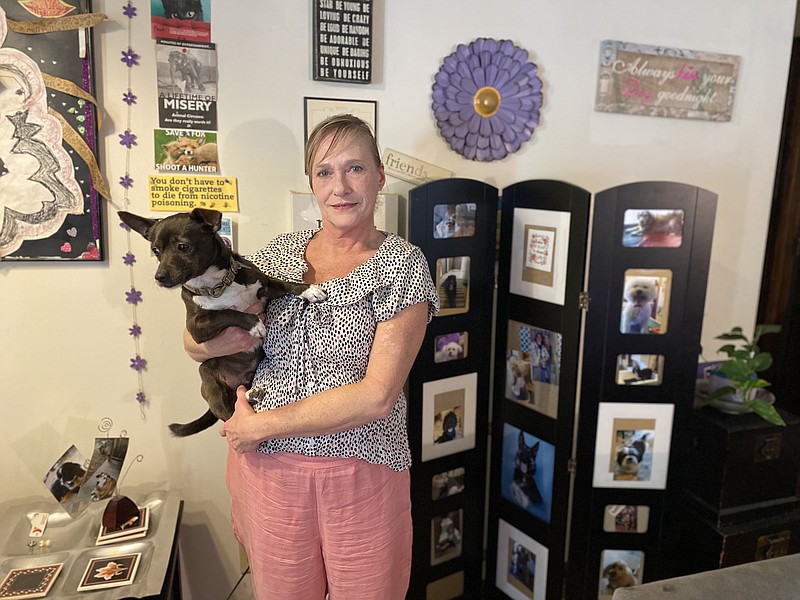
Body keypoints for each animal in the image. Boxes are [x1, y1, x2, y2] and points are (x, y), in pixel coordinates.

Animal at [119, 210, 324, 436]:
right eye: (156, 251)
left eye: (183, 246)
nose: (159, 277)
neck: (216, 284)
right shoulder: (196, 327)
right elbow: (226, 312)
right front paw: (254, 324)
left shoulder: (265, 286)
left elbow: (286, 284)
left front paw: (308, 291)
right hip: (208, 376)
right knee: (228, 415)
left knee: (238, 398)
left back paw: (250, 394)